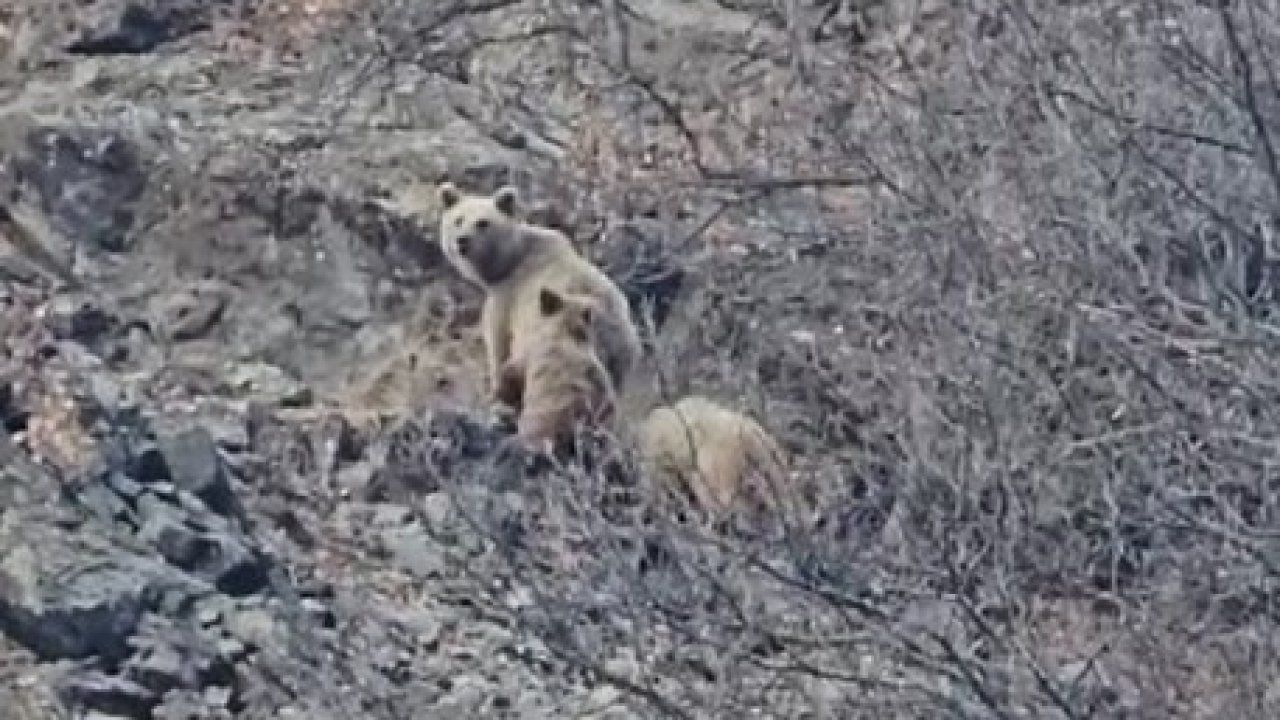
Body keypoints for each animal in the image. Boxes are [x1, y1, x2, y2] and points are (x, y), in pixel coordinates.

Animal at [437, 180, 640, 404]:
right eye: (458, 219)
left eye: (483, 223)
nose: (462, 240)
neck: (507, 264)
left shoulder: (508, 297)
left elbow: (498, 344)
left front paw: (495, 391)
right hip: (622, 354)